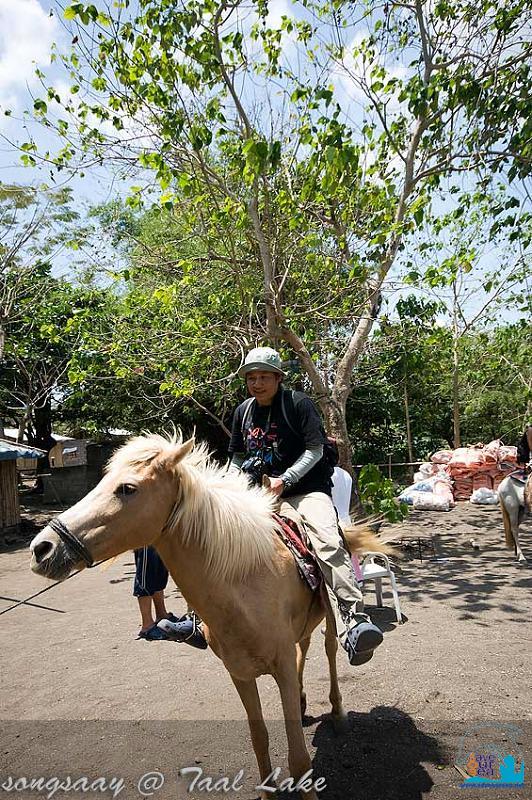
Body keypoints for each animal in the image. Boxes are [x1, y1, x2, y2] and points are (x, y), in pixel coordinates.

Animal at [30, 434, 390, 796]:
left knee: (329, 651)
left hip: (330, 615)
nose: (42, 548)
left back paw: (339, 709)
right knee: (304, 647)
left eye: (127, 488)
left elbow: (299, 758)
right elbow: (259, 739)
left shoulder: (282, 666)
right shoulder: (240, 672)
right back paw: (303, 704)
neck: (244, 585)